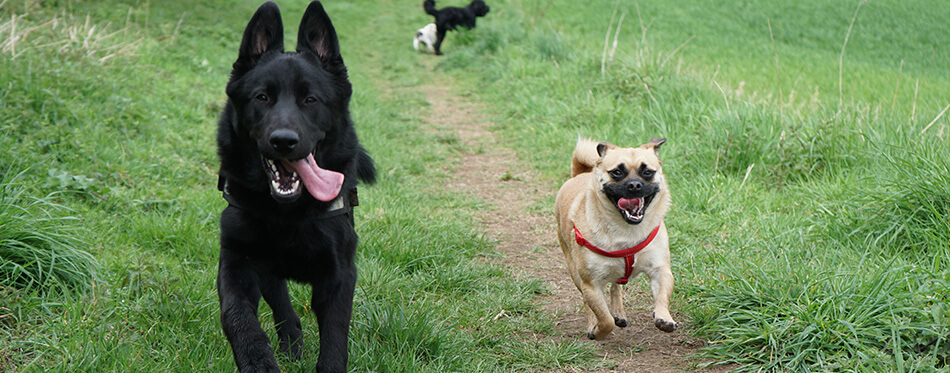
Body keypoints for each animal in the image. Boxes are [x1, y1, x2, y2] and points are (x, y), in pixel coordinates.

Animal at [216, 1, 376, 370]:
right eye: (262, 97)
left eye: (310, 100)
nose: (284, 141)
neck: (288, 212)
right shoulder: (236, 260)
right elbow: (237, 315)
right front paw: (258, 360)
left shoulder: (339, 274)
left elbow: (335, 338)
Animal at [556, 137, 680, 340]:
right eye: (617, 172)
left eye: (647, 172)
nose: (635, 185)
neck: (626, 230)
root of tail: (579, 174)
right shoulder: (591, 285)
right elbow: (605, 318)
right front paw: (598, 331)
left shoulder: (660, 271)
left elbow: (662, 296)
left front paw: (664, 317)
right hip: (575, 272)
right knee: (588, 302)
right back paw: (593, 324)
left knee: (616, 286)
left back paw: (619, 314)